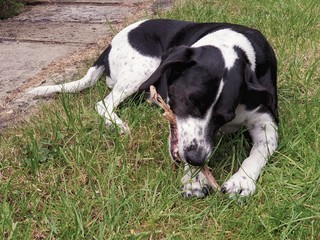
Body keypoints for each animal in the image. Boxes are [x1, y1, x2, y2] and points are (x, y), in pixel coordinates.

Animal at [28, 19, 278, 198]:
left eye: (224, 117)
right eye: (188, 101)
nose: (197, 160)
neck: (233, 43)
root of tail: (109, 45)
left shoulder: (266, 122)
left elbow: (259, 152)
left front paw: (242, 180)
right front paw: (193, 178)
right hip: (144, 68)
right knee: (104, 103)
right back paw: (117, 124)